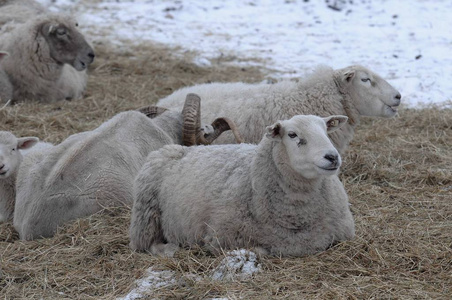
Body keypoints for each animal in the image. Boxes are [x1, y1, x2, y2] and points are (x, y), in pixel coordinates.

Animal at [131, 113, 356, 256]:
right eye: (292, 135)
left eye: (326, 131)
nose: (332, 157)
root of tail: (184, 148)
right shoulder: (221, 238)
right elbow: (261, 251)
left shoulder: (342, 233)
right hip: (146, 216)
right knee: (144, 244)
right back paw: (169, 249)